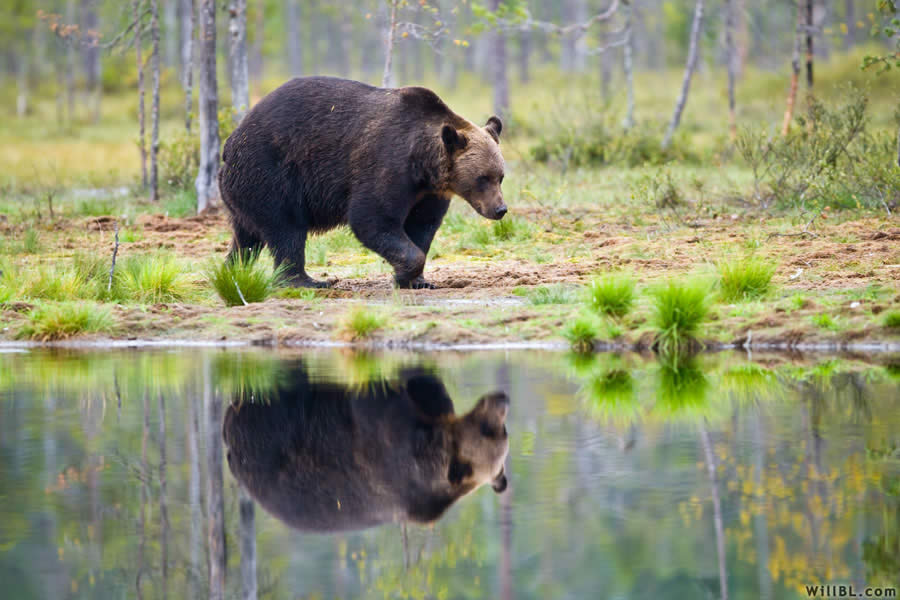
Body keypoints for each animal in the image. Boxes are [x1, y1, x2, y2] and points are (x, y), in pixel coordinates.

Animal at [220, 75, 506, 288]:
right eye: (482, 178)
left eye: (501, 176)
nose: (500, 209)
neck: (423, 164)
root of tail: (231, 142)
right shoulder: (388, 166)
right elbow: (371, 218)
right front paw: (405, 274)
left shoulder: (429, 193)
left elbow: (422, 226)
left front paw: (419, 280)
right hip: (270, 174)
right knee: (286, 229)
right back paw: (306, 280)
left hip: (244, 192)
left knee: (246, 238)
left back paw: (232, 272)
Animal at [221, 360, 510, 528]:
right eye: (488, 430)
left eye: (502, 432)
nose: (503, 400)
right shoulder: (388, 443)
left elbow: (426, 387)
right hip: (271, 434)